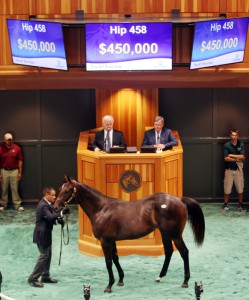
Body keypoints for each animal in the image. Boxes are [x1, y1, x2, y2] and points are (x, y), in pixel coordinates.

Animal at [54, 178, 204, 292]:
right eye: (60, 189)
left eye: (67, 191)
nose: (55, 207)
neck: (102, 209)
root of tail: (179, 199)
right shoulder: (111, 240)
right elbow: (116, 258)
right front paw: (120, 280)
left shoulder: (105, 240)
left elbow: (108, 262)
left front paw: (109, 285)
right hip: (165, 233)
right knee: (169, 252)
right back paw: (160, 277)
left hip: (175, 234)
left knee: (184, 252)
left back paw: (185, 281)